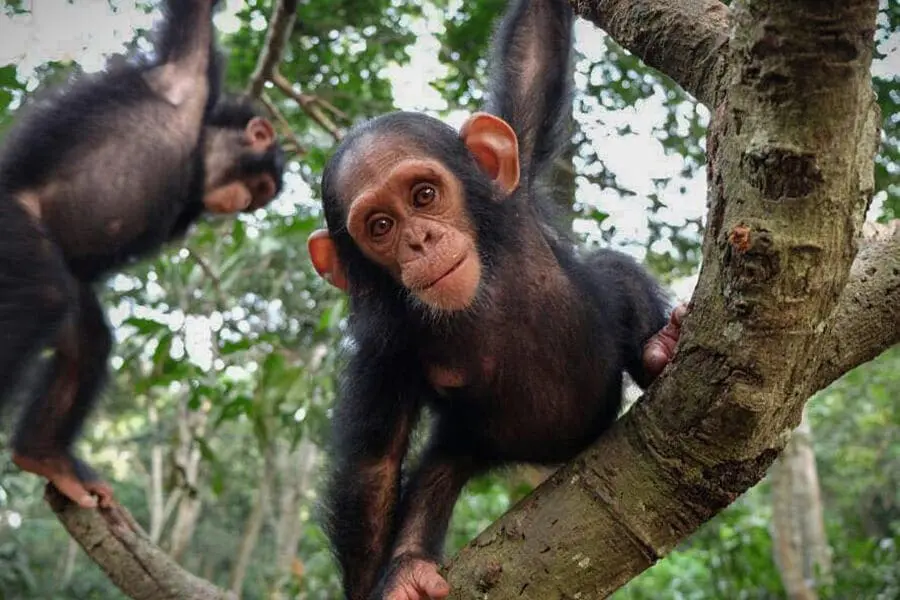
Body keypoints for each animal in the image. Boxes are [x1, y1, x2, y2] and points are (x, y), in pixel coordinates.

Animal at [0, 0, 284, 506]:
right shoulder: (187, 76)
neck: (197, 152)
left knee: (87, 339)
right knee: (42, 294)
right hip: (11, 228)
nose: (244, 203)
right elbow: (195, 18)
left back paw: (44, 455)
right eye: (260, 186)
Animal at [306, 0, 684, 596]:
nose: (420, 240)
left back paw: (658, 349)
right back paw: (409, 567)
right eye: (381, 225)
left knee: (613, 275)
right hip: (475, 445)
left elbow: (533, 57)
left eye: (424, 195)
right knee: (435, 475)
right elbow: (374, 470)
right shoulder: (382, 352)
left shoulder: (517, 181)